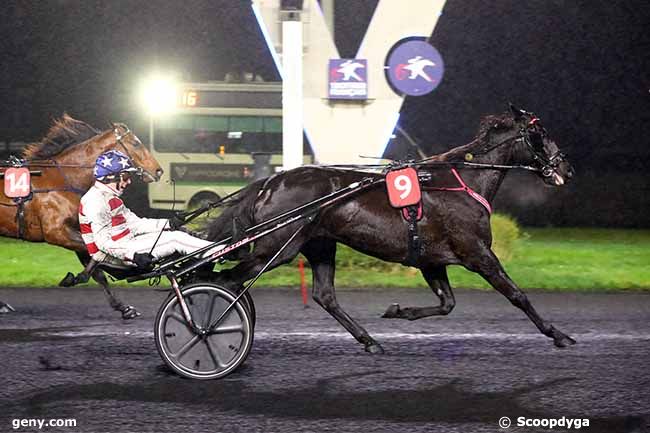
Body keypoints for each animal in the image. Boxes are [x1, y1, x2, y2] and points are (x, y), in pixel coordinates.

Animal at [0, 115, 162, 318]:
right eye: (136, 143)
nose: (158, 171)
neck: (63, 180)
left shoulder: (76, 229)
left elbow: (96, 266)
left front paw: (122, 306)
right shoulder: (57, 233)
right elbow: (97, 255)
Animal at [201, 104, 572, 352]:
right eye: (540, 134)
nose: (565, 167)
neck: (465, 182)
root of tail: (270, 182)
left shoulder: (431, 259)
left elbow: (447, 304)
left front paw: (398, 311)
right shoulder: (477, 253)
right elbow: (517, 295)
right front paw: (559, 334)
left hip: (319, 244)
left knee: (324, 295)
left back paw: (369, 341)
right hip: (277, 248)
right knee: (226, 280)